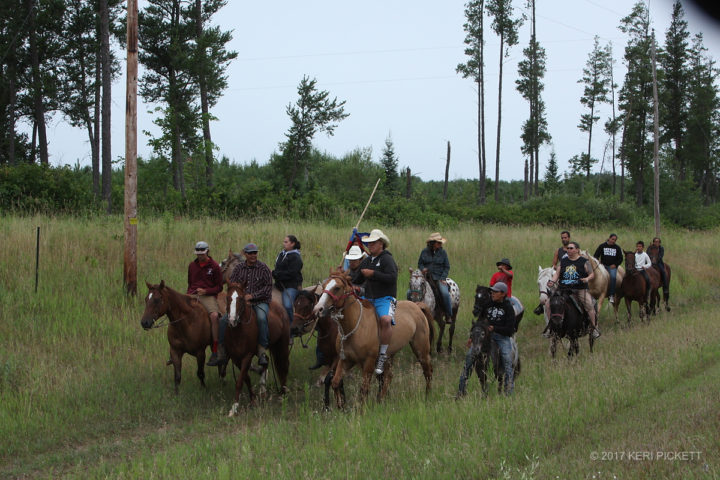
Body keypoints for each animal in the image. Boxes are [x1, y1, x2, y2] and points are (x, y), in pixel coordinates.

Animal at [226, 282, 292, 416]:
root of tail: (281, 308)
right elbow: (246, 378)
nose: (232, 320)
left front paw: (234, 408)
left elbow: (240, 381)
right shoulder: (236, 358)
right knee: (266, 361)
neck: (238, 332)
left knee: (283, 365)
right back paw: (263, 390)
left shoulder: (247, 355)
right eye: (227, 298)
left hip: (281, 344)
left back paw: (282, 393)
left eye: (241, 298)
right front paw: (253, 399)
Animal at [310, 270, 434, 408]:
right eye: (324, 286)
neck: (355, 326)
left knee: (427, 371)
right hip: (389, 356)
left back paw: (428, 396)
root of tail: (417, 305)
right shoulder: (346, 360)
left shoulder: (368, 362)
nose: (318, 309)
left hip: (421, 349)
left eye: (337, 288)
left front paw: (361, 410)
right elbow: (335, 382)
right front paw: (341, 407)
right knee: (388, 376)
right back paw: (381, 399)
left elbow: (364, 389)